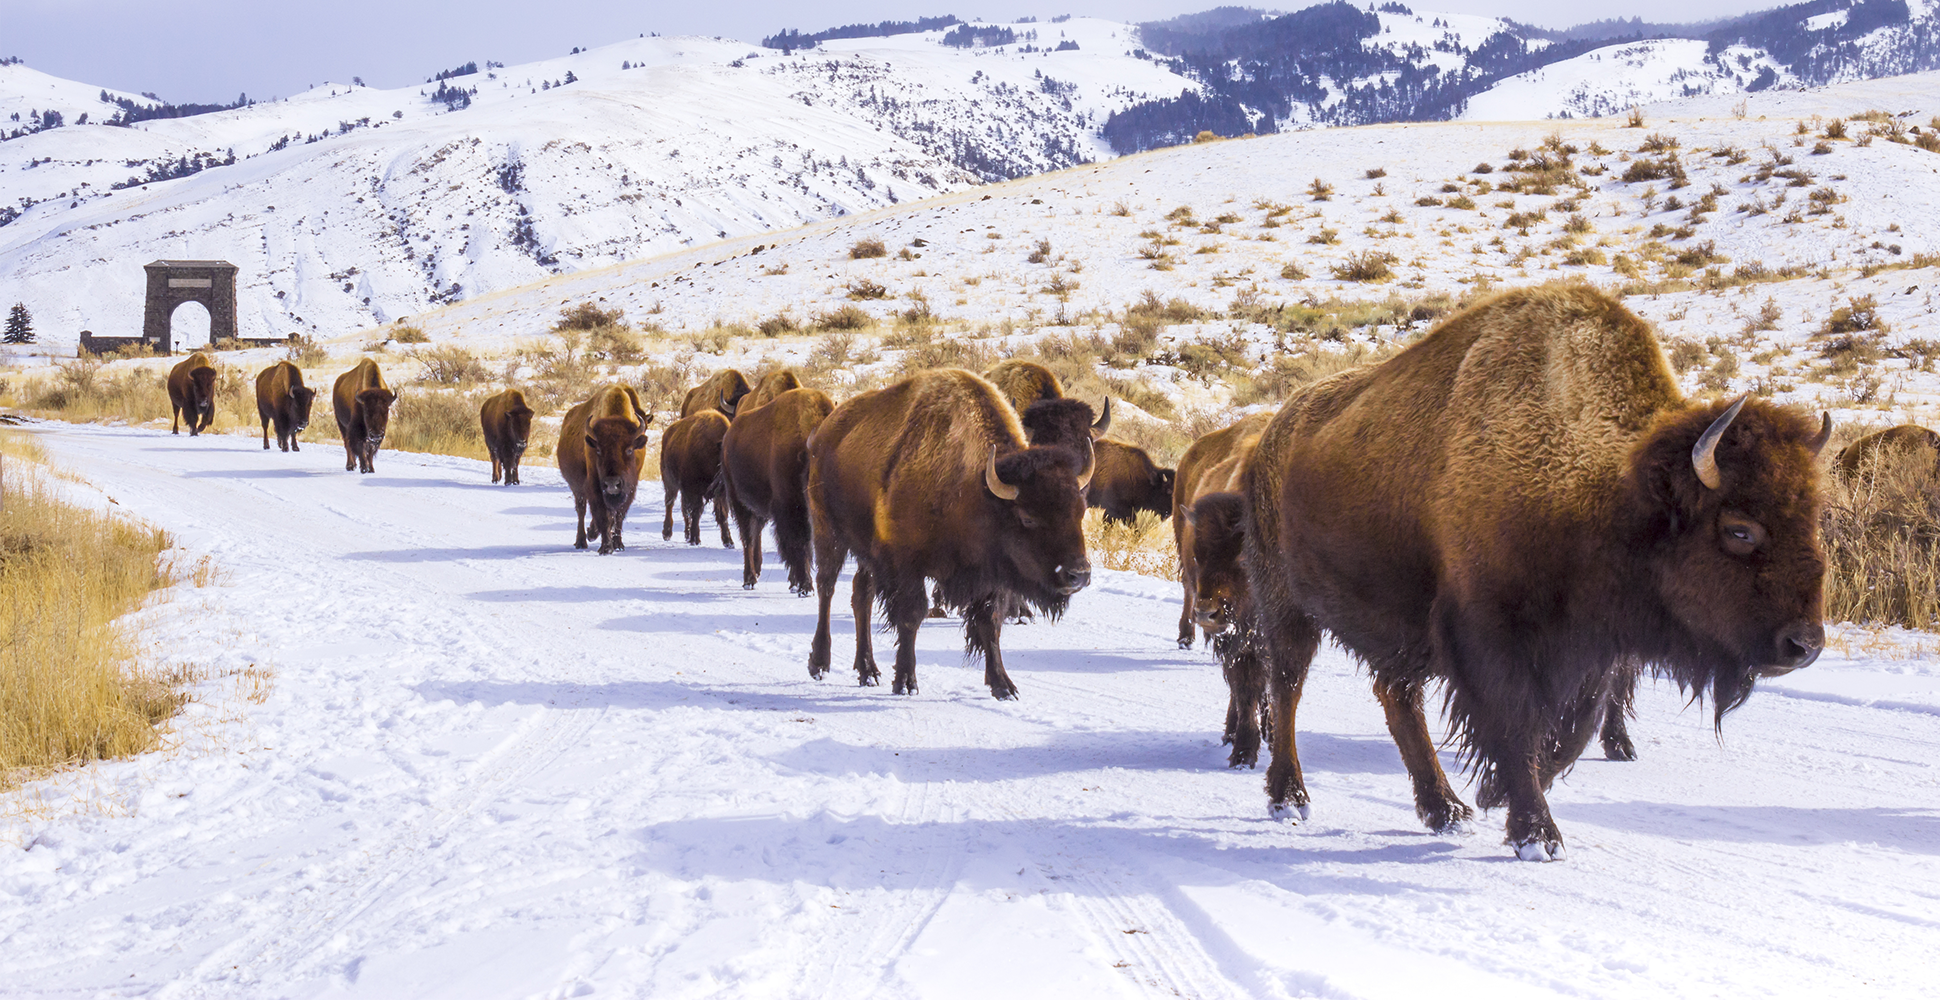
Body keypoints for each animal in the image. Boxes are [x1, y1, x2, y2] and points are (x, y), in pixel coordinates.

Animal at [558, 386, 652, 554]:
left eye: (629, 450)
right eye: (598, 450)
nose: (612, 484)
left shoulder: (629, 489)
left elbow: (618, 515)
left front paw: (618, 544)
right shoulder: (595, 486)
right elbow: (605, 516)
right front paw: (606, 547)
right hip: (577, 489)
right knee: (581, 510)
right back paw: (582, 540)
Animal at [660, 409, 734, 547]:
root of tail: (667, 433)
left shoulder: (720, 494)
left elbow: (722, 514)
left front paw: (729, 542)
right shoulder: (693, 489)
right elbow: (696, 511)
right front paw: (695, 539)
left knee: (684, 510)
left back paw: (686, 534)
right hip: (670, 481)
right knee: (670, 503)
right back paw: (667, 533)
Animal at [721, 384, 835, 593]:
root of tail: (728, 436)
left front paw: (797, 583)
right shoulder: (790, 509)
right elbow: (799, 544)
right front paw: (805, 586)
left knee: (754, 534)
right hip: (740, 503)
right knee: (748, 539)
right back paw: (749, 580)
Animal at [806, 369, 1094, 698]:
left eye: (1080, 511)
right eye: (1028, 518)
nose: (1078, 574)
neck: (976, 489)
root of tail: (824, 432)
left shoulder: (990, 577)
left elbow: (990, 622)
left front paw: (1003, 686)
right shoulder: (906, 566)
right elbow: (911, 617)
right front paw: (906, 682)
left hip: (866, 551)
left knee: (861, 594)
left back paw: (868, 671)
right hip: (828, 531)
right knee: (826, 587)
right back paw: (819, 664)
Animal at [1242, 285, 1831, 861]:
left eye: (1814, 517)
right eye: (1739, 529)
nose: (1805, 645)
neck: (1605, 487)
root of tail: (1270, 436)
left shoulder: (1589, 650)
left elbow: (1574, 729)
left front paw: (1495, 794)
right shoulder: (1491, 637)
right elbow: (1516, 726)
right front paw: (1537, 835)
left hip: (1398, 628)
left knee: (1395, 696)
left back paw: (1445, 809)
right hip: (1286, 602)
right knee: (1287, 686)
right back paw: (1290, 798)